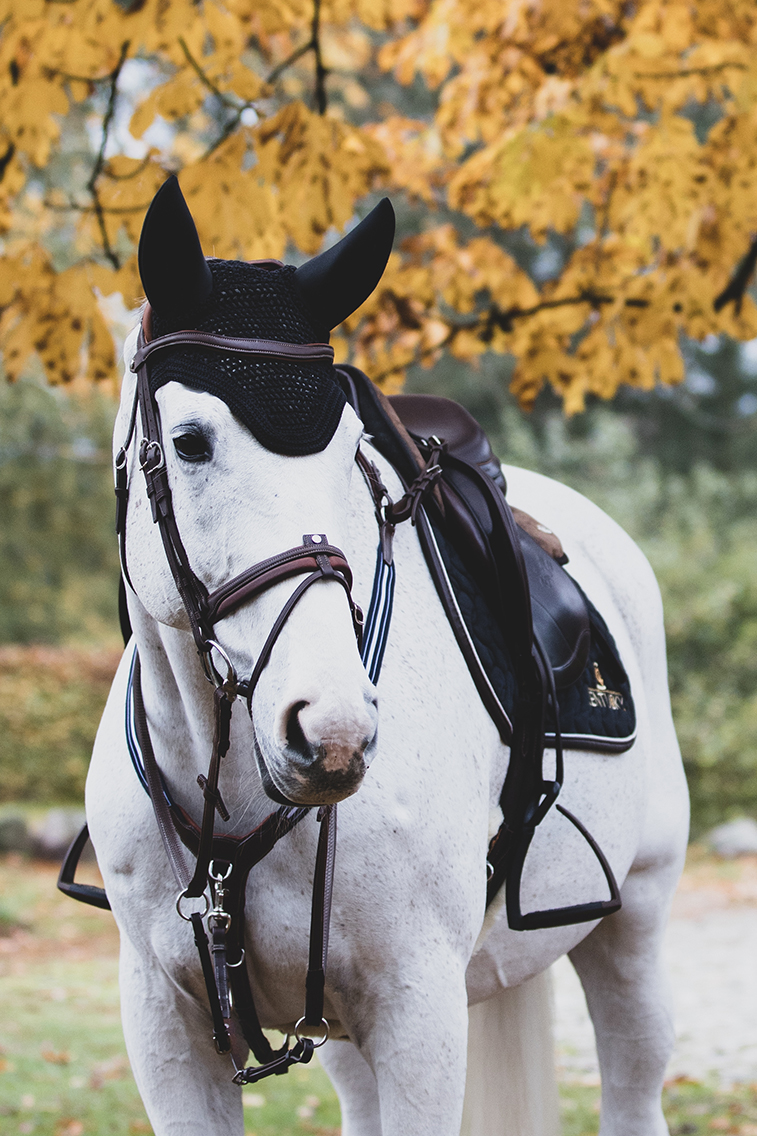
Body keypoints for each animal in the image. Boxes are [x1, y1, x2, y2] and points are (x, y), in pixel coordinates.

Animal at [83, 176, 689, 1136]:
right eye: (189, 442)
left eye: (351, 450)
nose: (331, 731)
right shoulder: (166, 1024)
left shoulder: (418, 1013)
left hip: (631, 931)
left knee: (633, 1083)